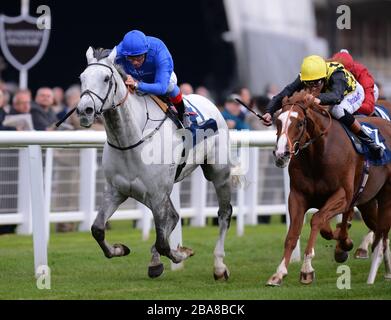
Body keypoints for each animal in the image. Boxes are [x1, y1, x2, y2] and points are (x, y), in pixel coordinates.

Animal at [78, 46, 234, 278]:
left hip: (218, 172)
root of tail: (210, 102)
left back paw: (219, 266)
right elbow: (97, 229)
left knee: (224, 214)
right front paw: (120, 249)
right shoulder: (117, 190)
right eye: (82, 78)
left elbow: (163, 242)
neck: (130, 141)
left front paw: (182, 254)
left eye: (106, 78)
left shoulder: (157, 194)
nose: (84, 111)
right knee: (173, 217)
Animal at [268, 91, 391, 286]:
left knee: (383, 230)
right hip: (368, 201)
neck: (318, 155)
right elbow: (294, 233)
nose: (281, 154)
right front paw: (279, 273)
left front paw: (307, 269)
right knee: (379, 229)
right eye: (278, 121)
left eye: (300, 123)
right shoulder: (297, 196)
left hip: (385, 195)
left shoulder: (343, 196)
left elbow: (317, 219)